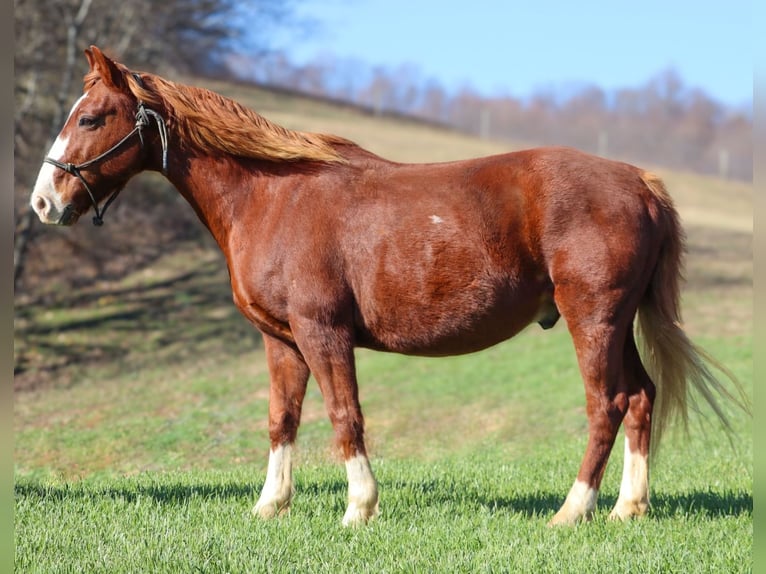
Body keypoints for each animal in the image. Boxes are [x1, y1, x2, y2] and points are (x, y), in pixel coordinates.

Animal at [30, 46, 747, 527]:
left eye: (91, 118)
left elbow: (345, 416)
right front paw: (270, 506)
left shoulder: (323, 333)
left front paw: (359, 509)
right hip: (618, 323)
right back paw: (629, 508)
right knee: (642, 398)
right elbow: (281, 420)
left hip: (592, 318)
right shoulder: (280, 341)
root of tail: (638, 181)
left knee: (607, 403)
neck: (273, 196)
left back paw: (573, 512)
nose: (43, 202)